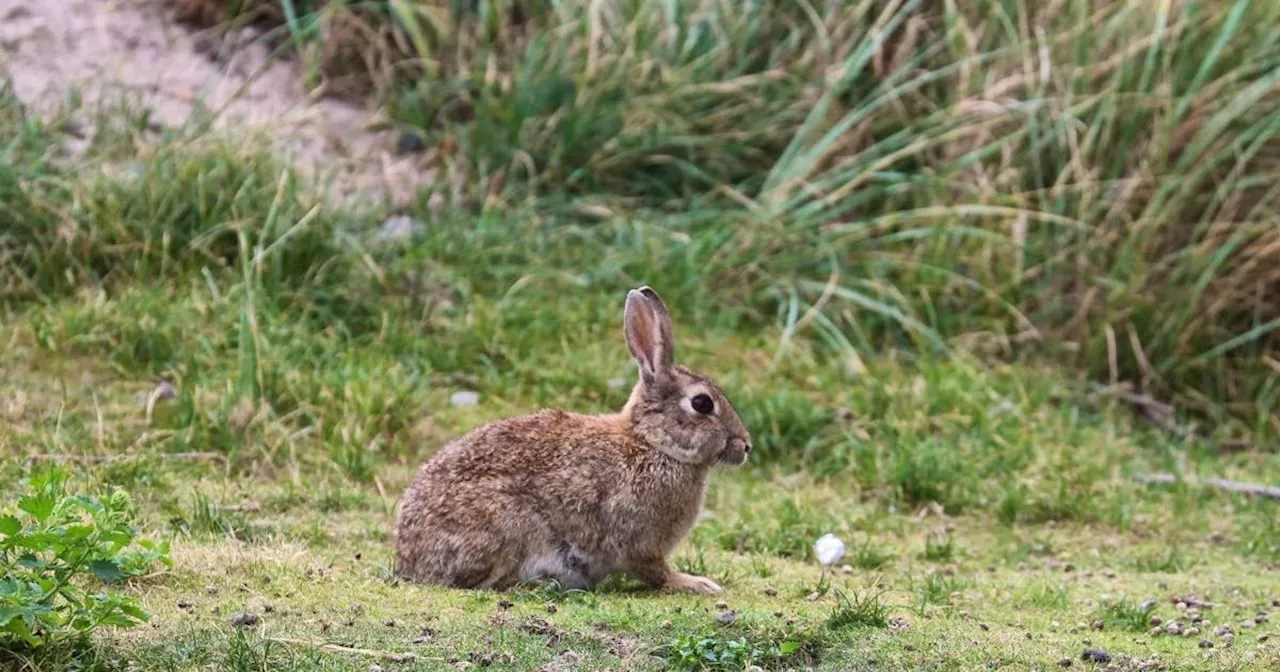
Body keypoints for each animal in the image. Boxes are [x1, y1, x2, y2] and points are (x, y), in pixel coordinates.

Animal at [391, 284, 747, 591]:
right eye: (702, 403)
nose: (746, 445)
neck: (653, 444)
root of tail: (409, 561)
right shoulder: (637, 541)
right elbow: (656, 572)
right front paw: (696, 584)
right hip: (507, 524)